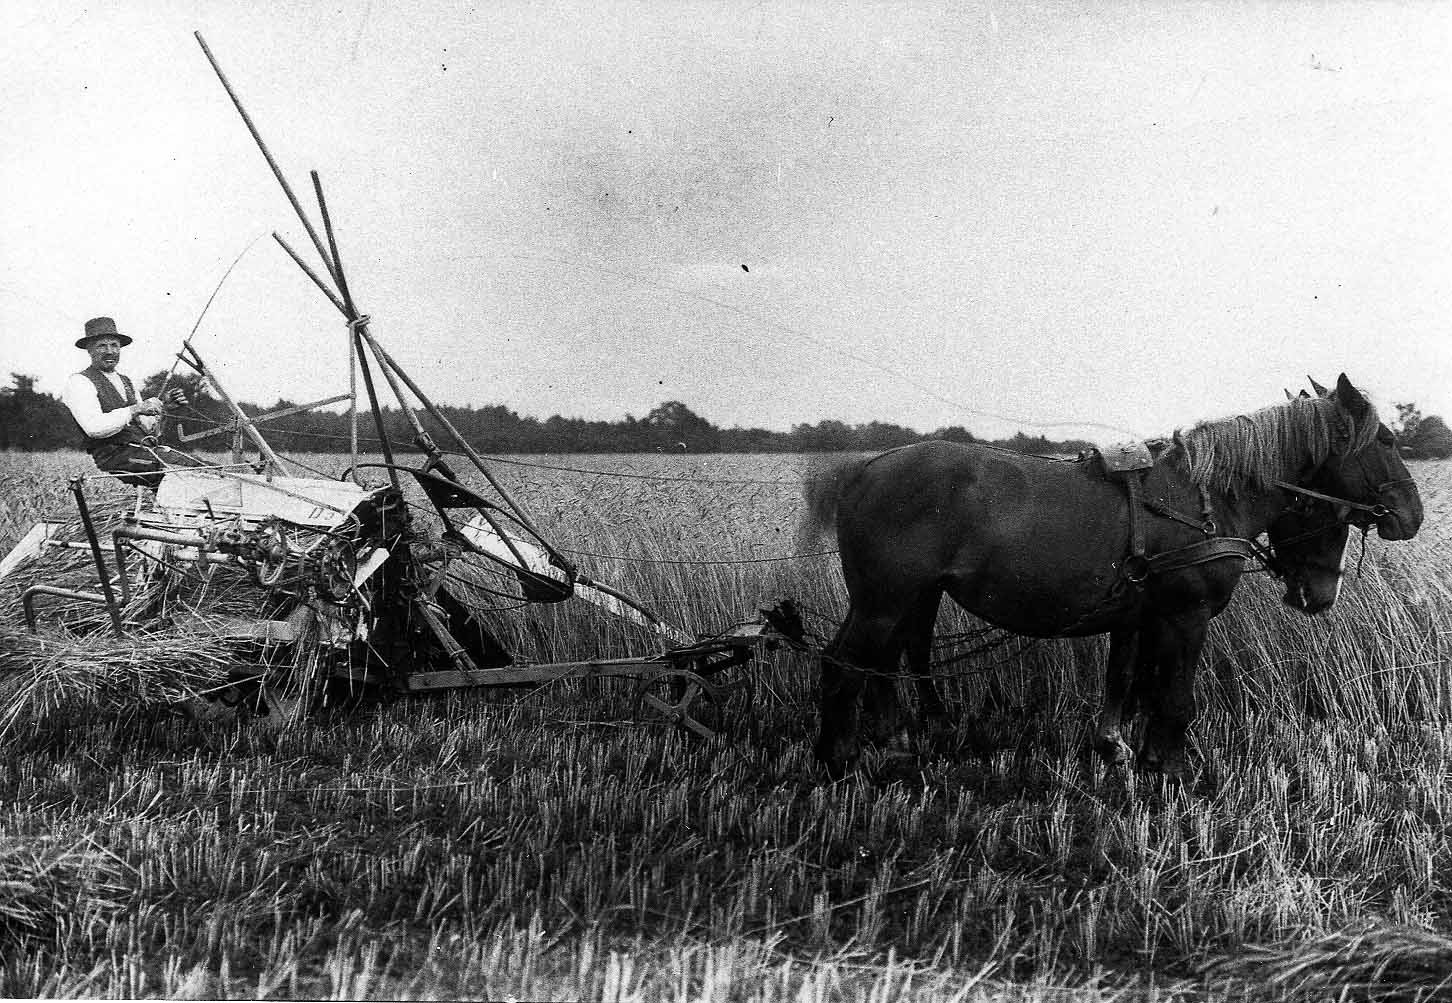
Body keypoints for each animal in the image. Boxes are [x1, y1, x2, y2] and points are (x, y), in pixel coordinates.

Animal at [807, 377, 1428, 778]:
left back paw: (890, 742)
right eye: (1386, 441)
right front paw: (1171, 770)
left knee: (882, 663)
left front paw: (1124, 750)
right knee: (842, 666)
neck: (1204, 498)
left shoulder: (1141, 616)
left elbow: (1129, 682)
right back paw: (840, 759)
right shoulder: (1185, 616)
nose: (1412, 517)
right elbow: (1174, 697)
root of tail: (861, 468)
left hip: (904, 599)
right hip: (884, 602)